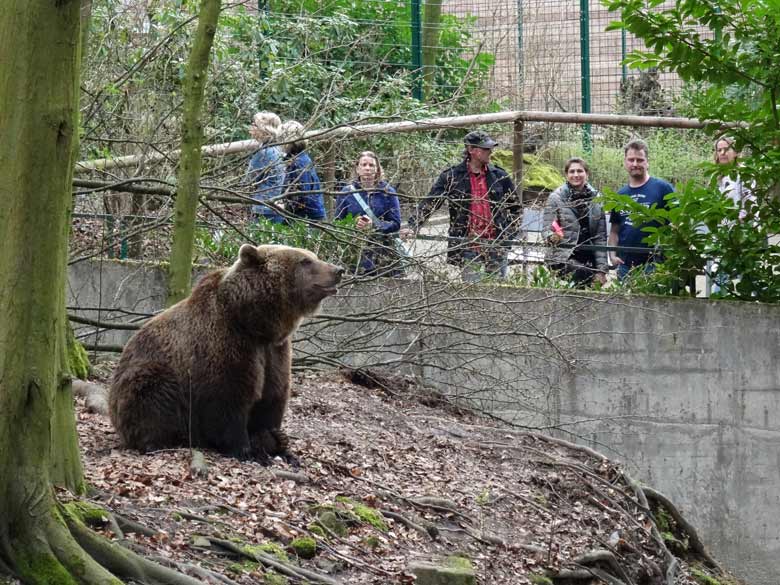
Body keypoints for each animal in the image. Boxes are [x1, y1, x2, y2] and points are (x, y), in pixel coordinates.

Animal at [108, 244, 342, 458]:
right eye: (305, 261)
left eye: (314, 256)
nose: (338, 270)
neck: (255, 323)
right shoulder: (226, 343)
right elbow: (228, 395)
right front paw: (244, 449)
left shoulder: (275, 351)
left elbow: (272, 394)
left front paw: (275, 442)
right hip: (150, 374)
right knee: (153, 393)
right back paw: (160, 441)